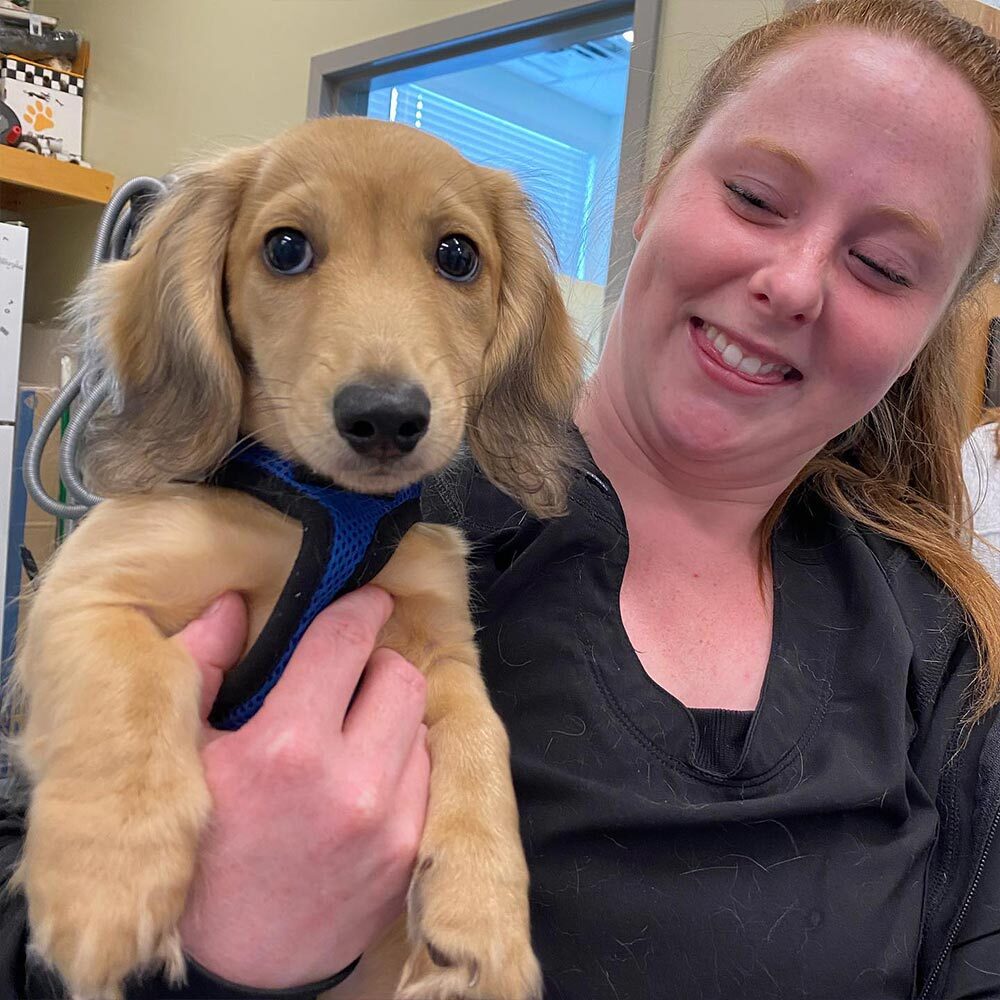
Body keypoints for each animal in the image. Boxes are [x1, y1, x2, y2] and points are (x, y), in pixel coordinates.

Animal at [9, 119, 580, 1000]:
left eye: (457, 256)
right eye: (285, 248)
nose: (386, 418)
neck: (329, 509)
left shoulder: (441, 649)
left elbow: (483, 743)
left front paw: (484, 920)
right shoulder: (86, 590)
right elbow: (130, 690)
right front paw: (105, 880)